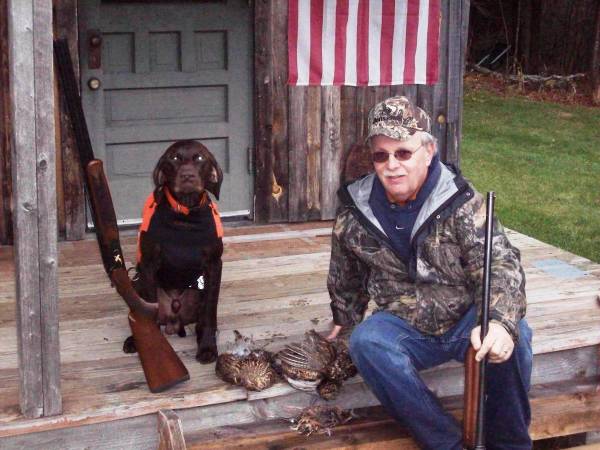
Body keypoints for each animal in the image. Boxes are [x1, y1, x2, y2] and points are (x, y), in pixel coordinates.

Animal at [123, 139, 224, 364]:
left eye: (200, 158)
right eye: (174, 158)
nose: (187, 176)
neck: (185, 216)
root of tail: (175, 319)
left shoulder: (214, 265)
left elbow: (210, 313)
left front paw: (207, 347)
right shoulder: (148, 264)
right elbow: (148, 310)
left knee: (201, 320)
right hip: (137, 282)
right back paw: (133, 339)